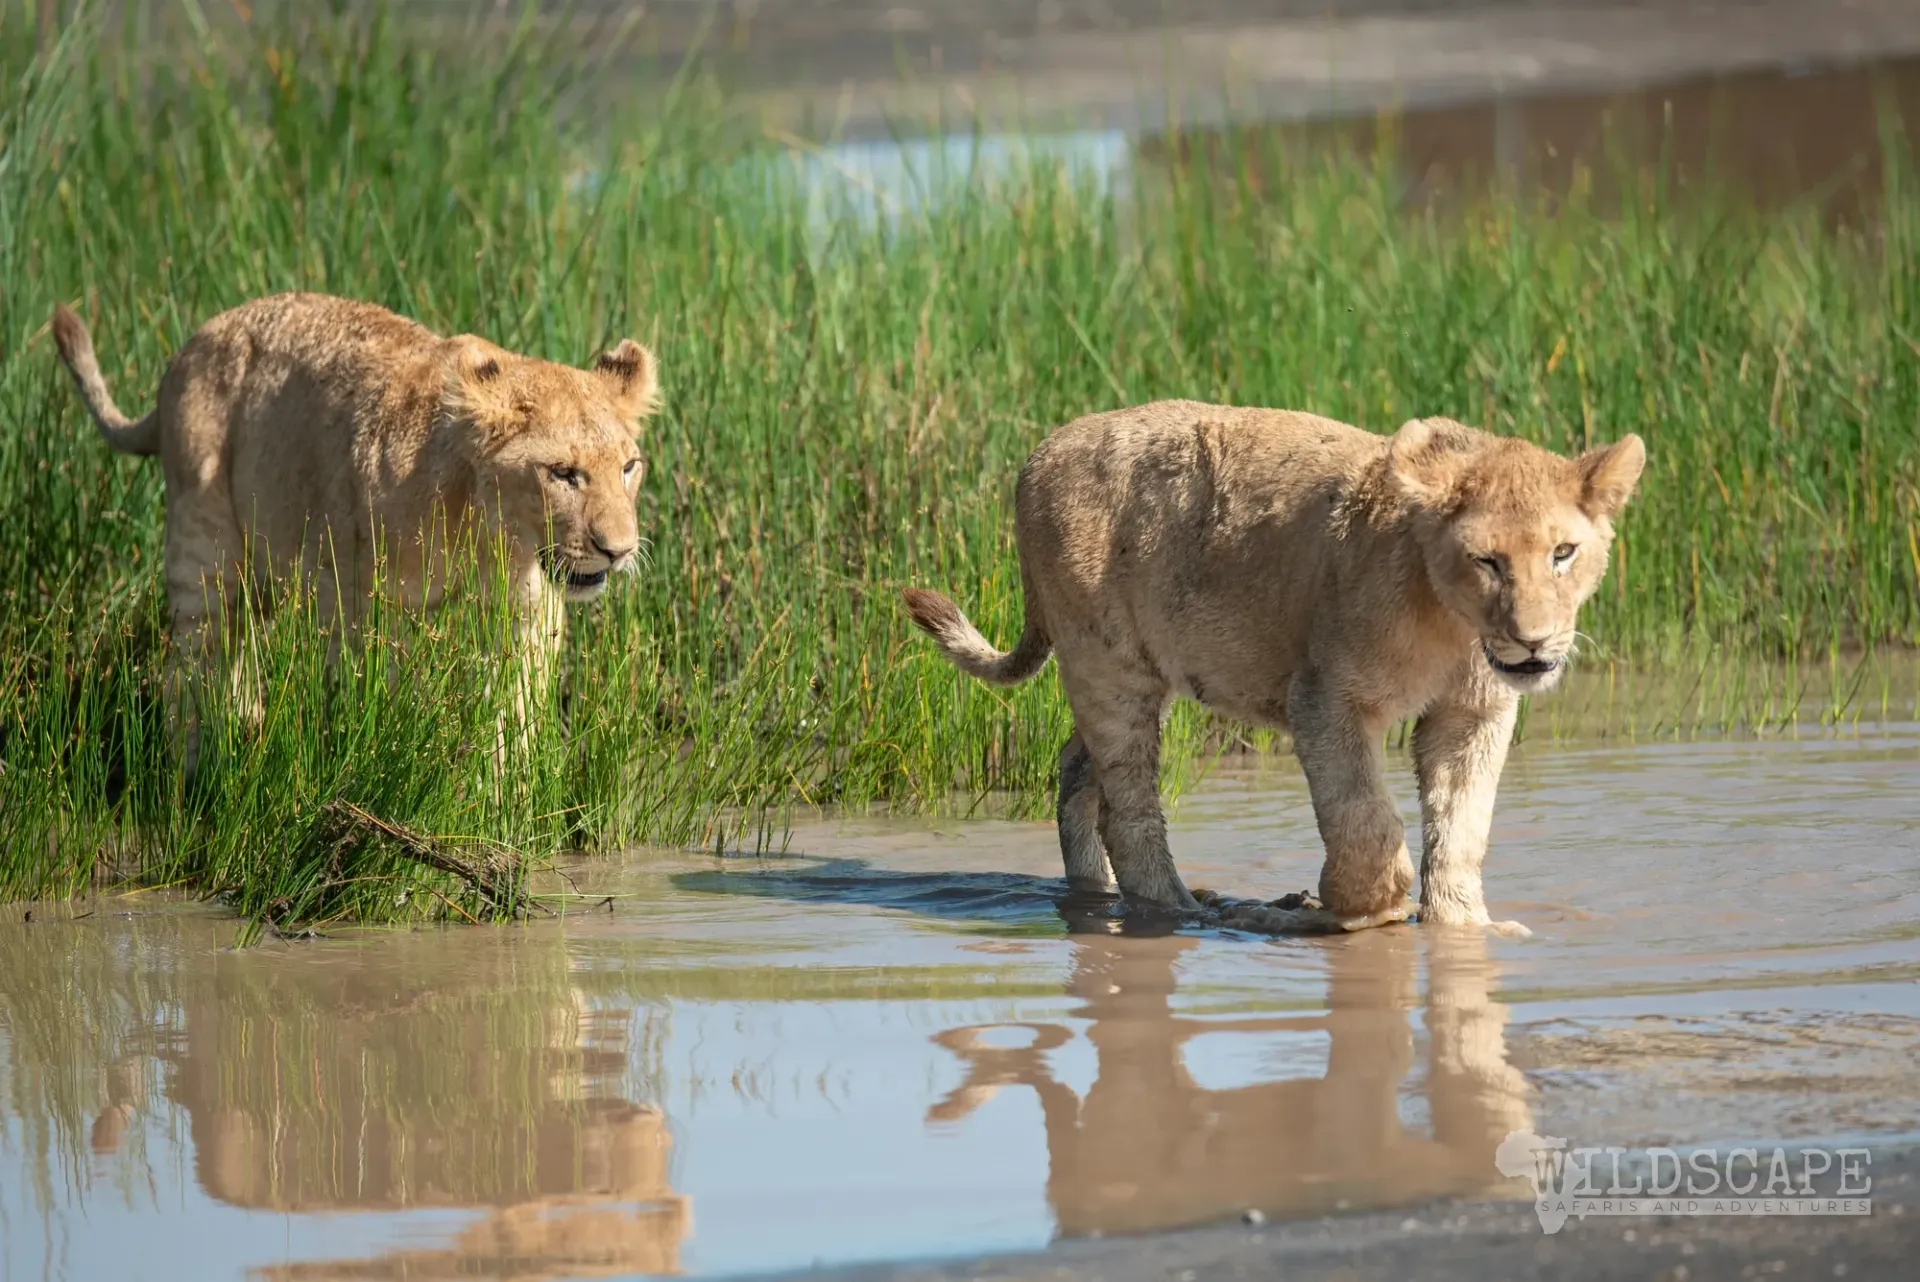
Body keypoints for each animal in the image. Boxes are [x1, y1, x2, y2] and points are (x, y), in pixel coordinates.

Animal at [51, 291, 659, 771]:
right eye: (563, 473)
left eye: (629, 466)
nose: (619, 550)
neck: (490, 540)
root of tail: (185, 351)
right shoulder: (354, 602)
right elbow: (377, 701)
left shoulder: (529, 615)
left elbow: (515, 714)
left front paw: (507, 800)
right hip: (203, 542)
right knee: (190, 662)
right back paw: (192, 772)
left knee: (235, 652)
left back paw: (243, 734)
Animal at [904, 400, 1645, 934]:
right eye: (1488, 560)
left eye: (1563, 553)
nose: (1534, 643)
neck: (1455, 627)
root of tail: (1037, 454)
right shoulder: (1325, 696)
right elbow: (1364, 820)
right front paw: (1361, 907)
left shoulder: (1474, 713)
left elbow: (1462, 826)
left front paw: (1463, 929)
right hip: (1106, 662)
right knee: (1127, 807)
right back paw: (1195, 909)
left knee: (1076, 774)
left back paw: (1099, 895)